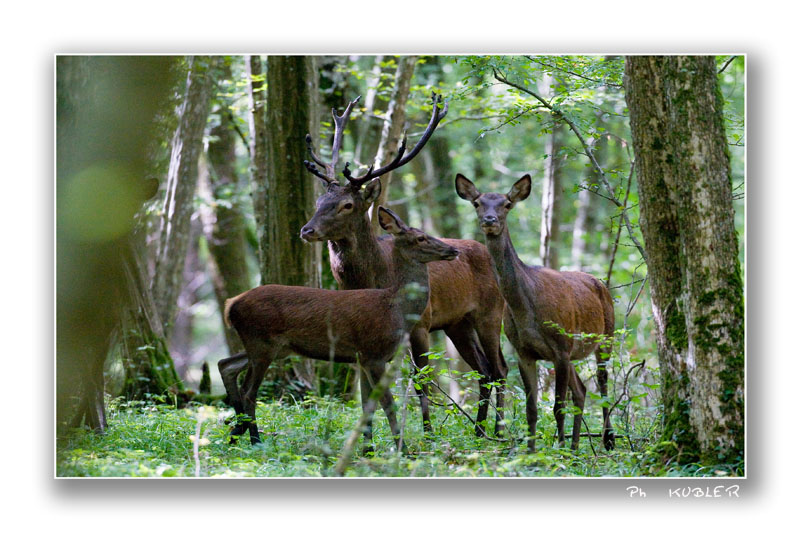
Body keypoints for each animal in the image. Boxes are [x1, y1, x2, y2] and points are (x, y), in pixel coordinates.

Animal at [222, 206, 459, 449]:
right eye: (420, 237)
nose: (453, 249)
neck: (397, 310)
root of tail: (231, 305)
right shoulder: (374, 354)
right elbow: (387, 403)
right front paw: (402, 449)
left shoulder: (363, 357)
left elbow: (367, 406)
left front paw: (367, 449)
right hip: (262, 342)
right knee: (249, 391)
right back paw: (254, 440)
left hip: (271, 347)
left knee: (226, 365)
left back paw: (235, 433)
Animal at [298, 93, 508, 437]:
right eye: (318, 202)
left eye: (347, 205)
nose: (306, 230)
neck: (375, 277)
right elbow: (366, 391)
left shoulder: (420, 323)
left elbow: (421, 381)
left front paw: (427, 434)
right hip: (457, 323)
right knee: (484, 370)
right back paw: (479, 431)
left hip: (490, 312)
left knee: (500, 367)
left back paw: (499, 431)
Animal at [455, 173, 615, 452]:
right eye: (477, 203)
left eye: (507, 204)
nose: (490, 220)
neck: (526, 310)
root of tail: (600, 283)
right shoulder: (525, 352)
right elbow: (532, 408)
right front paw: (531, 452)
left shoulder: (561, 348)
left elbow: (558, 407)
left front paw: (558, 450)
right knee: (581, 390)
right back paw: (576, 446)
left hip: (606, 335)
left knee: (603, 382)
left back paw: (607, 440)